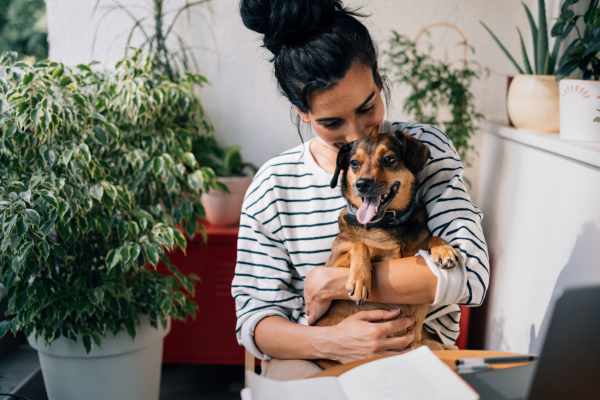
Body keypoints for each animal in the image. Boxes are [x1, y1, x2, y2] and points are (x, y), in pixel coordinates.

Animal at [314, 130, 460, 368]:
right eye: (354, 163)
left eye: (389, 159)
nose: (362, 184)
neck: (387, 224)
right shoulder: (331, 264)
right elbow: (361, 243)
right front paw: (360, 279)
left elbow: (431, 236)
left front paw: (444, 250)